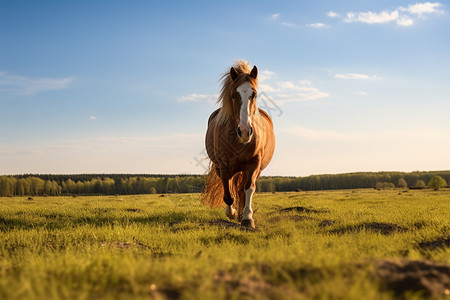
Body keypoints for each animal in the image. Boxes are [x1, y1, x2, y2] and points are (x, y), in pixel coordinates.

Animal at [202, 61, 276, 230]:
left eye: (254, 94)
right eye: (233, 95)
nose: (244, 131)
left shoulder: (254, 164)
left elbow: (248, 188)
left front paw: (247, 217)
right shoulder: (223, 166)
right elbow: (228, 192)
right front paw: (232, 212)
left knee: (243, 189)